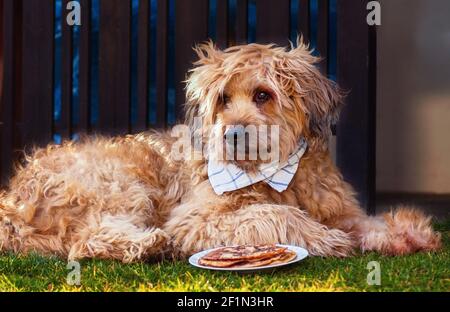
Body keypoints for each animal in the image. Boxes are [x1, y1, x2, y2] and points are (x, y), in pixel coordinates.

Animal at [0, 40, 442, 260]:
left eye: (263, 95)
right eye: (223, 99)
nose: (232, 134)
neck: (279, 174)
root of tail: (13, 201)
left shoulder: (339, 208)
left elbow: (365, 222)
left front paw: (404, 233)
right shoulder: (194, 219)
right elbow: (271, 213)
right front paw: (323, 238)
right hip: (119, 183)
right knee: (87, 240)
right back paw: (148, 244)